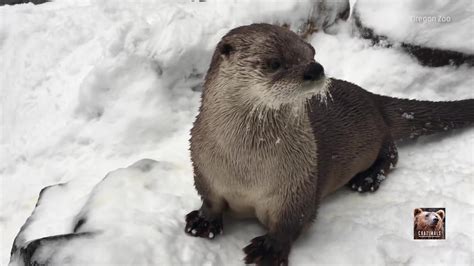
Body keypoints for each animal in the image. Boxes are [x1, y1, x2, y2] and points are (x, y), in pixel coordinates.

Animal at [183, 23, 472, 264]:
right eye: (274, 62)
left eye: (312, 52)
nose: (315, 68)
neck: (245, 170)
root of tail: (372, 97)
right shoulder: (204, 174)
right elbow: (210, 202)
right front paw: (202, 222)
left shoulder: (297, 187)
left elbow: (291, 223)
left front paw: (269, 249)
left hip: (378, 135)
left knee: (391, 153)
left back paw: (368, 179)